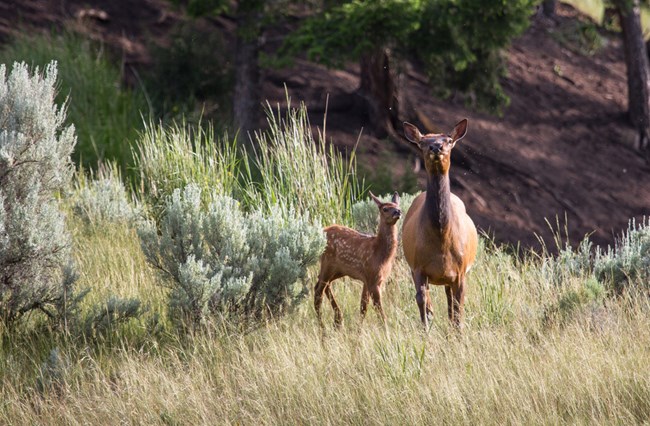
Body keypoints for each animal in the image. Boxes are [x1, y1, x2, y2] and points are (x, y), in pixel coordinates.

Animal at [314, 191, 400, 328]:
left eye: (398, 206)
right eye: (385, 209)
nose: (398, 212)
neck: (379, 253)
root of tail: (322, 231)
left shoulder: (370, 279)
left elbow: (363, 307)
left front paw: (358, 329)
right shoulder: (372, 277)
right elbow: (379, 310)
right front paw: (386, 331)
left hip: (338, 270)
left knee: (321, 285)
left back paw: (337, 319)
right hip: (328, 263)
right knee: (318, 291)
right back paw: (323, 326)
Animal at [400, 120, 476, 330]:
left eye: (449, 140)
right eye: (422, 142)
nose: (436, 147)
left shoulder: (460, 272)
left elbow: (457, 310)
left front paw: (458, 334)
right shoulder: (418, 267)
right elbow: (422, 301)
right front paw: (426, 330)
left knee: (450, 304)